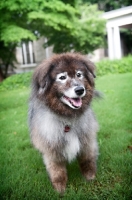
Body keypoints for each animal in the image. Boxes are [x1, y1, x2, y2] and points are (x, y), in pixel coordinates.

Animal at [28, 52, 99, 193]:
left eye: (79, 74)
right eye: (62, 77)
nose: (80, 90)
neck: (67, 118)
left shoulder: (86, 141)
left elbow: (87, 159)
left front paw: (90, 176)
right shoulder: (51, 149)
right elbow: (57, 171)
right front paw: (60, 188)